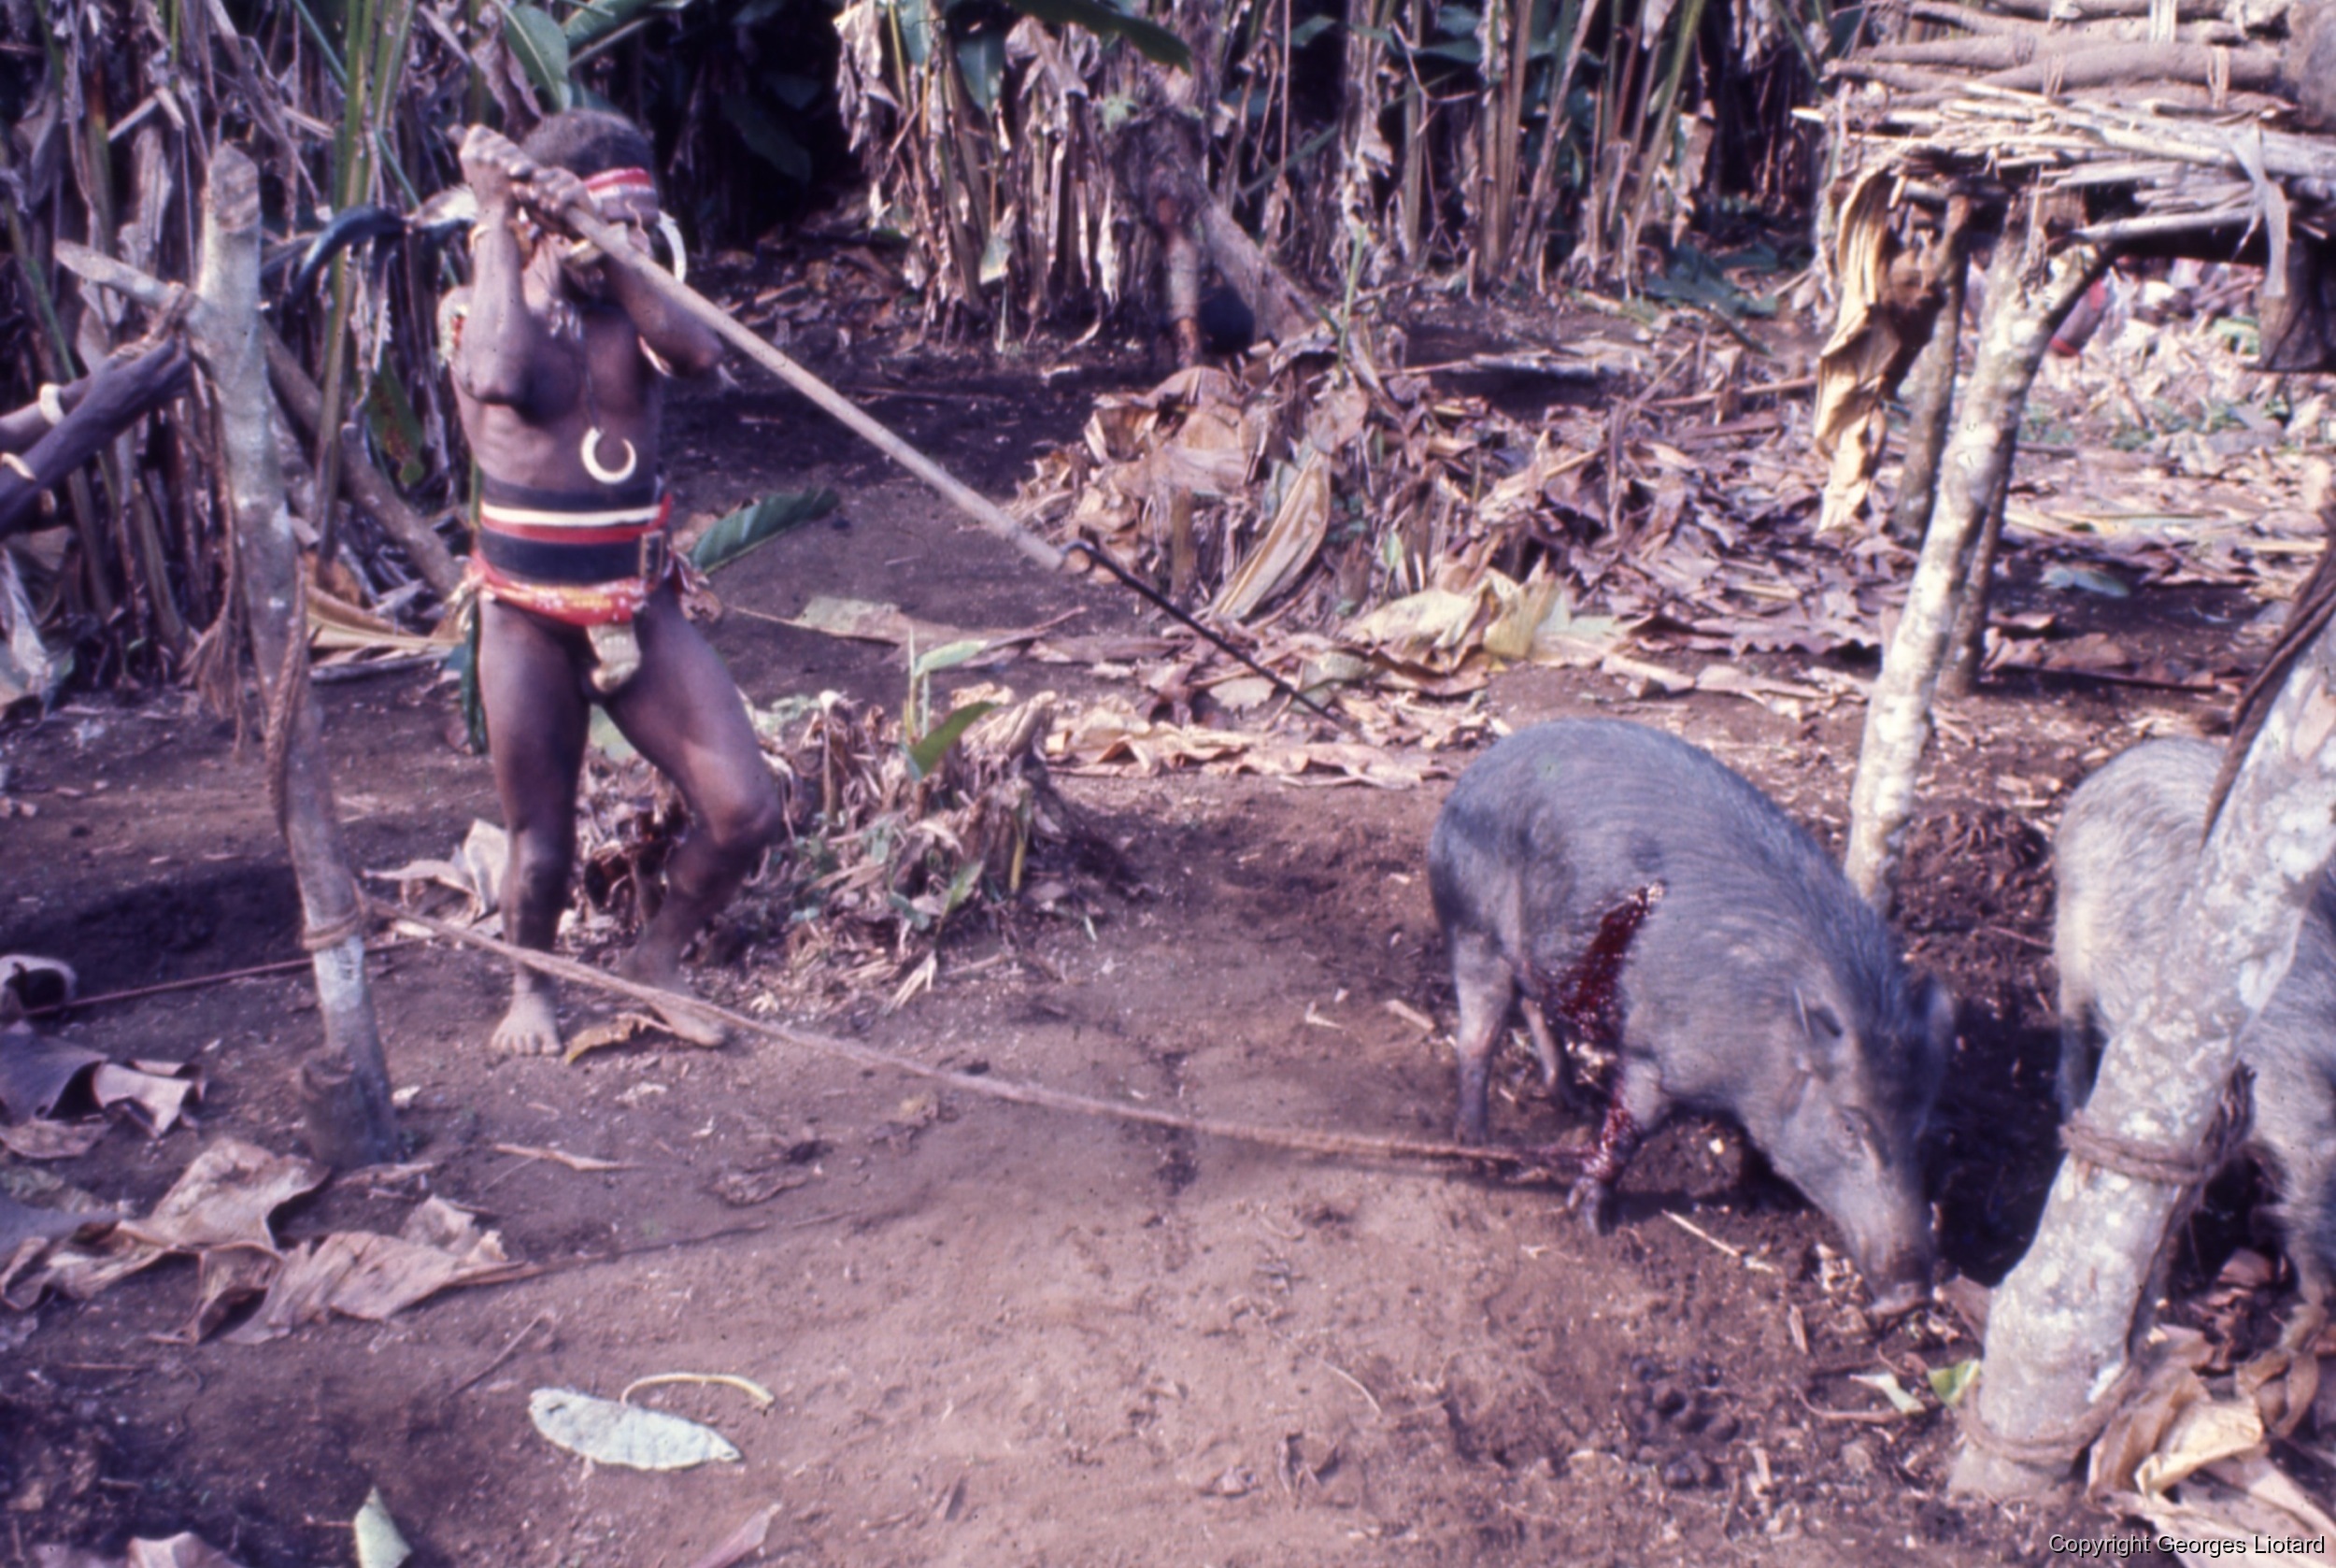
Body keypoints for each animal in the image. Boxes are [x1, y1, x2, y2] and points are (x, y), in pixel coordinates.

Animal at [1429, 719, 1954, 1315]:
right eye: (1849, 1125)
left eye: (1923, 1132)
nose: (1911, 1295)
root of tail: (1469, 779)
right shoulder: (1656, 1055)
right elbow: (1629, 1128)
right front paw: (1591, 1218)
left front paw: (1766, 1197)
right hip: (1473, 929)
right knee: (1476, 1037)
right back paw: (1477, 1145)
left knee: (1536, 1007)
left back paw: (1572, 1101)